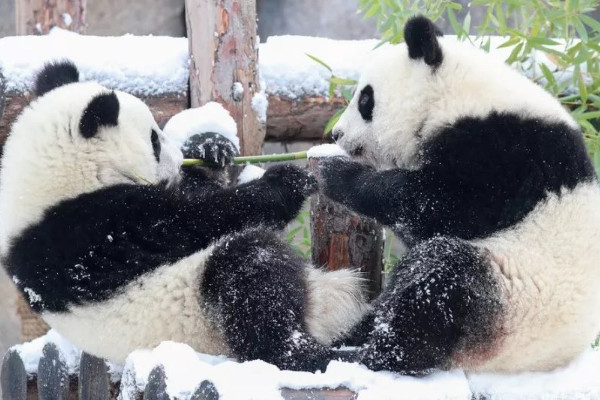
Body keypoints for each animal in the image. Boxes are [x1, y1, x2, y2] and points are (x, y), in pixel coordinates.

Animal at [0, 61, 366, 372]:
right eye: (153, 139)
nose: (177, 159)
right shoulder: (97, 228)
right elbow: (200, 220)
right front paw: (285, 182)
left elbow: (197, 193)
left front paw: (210, 148)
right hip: (200, 316)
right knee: (251, 273)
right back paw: (311, 353)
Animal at [322, 14, 600, 374]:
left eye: (365, 100)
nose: (336, 133)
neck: (453, 96)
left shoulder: (506, 155)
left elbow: (439, 205)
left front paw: (336, 173)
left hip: (510, 302)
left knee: (439, 279)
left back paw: (366, 355)